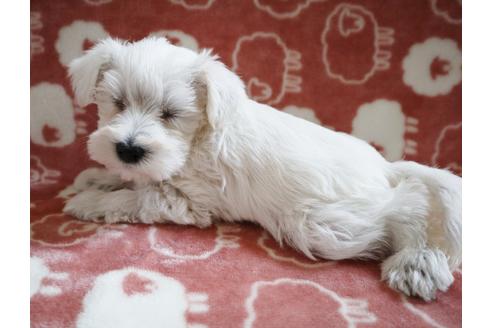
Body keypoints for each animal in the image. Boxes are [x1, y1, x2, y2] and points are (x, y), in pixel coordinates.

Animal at [62, 37, 462, 302]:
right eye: (118, 103)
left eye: (170, 114)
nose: (128, 149)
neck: (198, 138)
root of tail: (386, 166)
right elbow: (131, 179)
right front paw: (98, 177)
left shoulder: (183, 200)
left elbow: (133, 198)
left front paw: (89, 201)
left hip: (328, 224)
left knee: (410, 206)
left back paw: (417, 263)